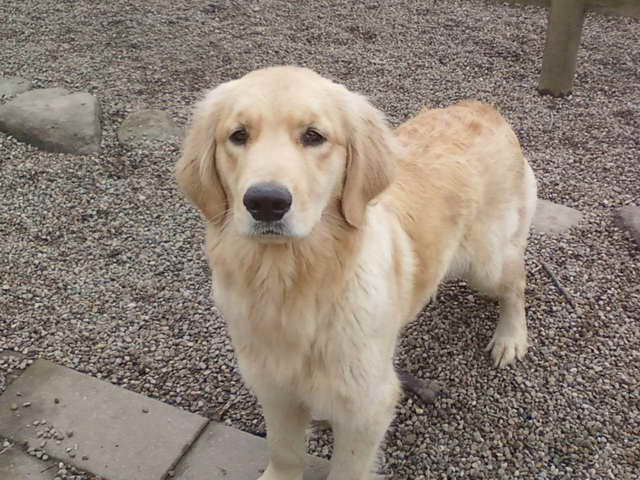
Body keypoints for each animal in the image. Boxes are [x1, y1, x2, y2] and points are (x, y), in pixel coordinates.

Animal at [174, 66, 536, 480]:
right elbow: (284, 452)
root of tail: (482, 108)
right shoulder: (274, 388)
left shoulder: (367, 406)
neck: (291, 283)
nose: (266, 202)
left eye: (314, 136)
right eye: (238, 135)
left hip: (485, 264)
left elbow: (346, 467)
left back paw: (511, 338)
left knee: (517, 280)